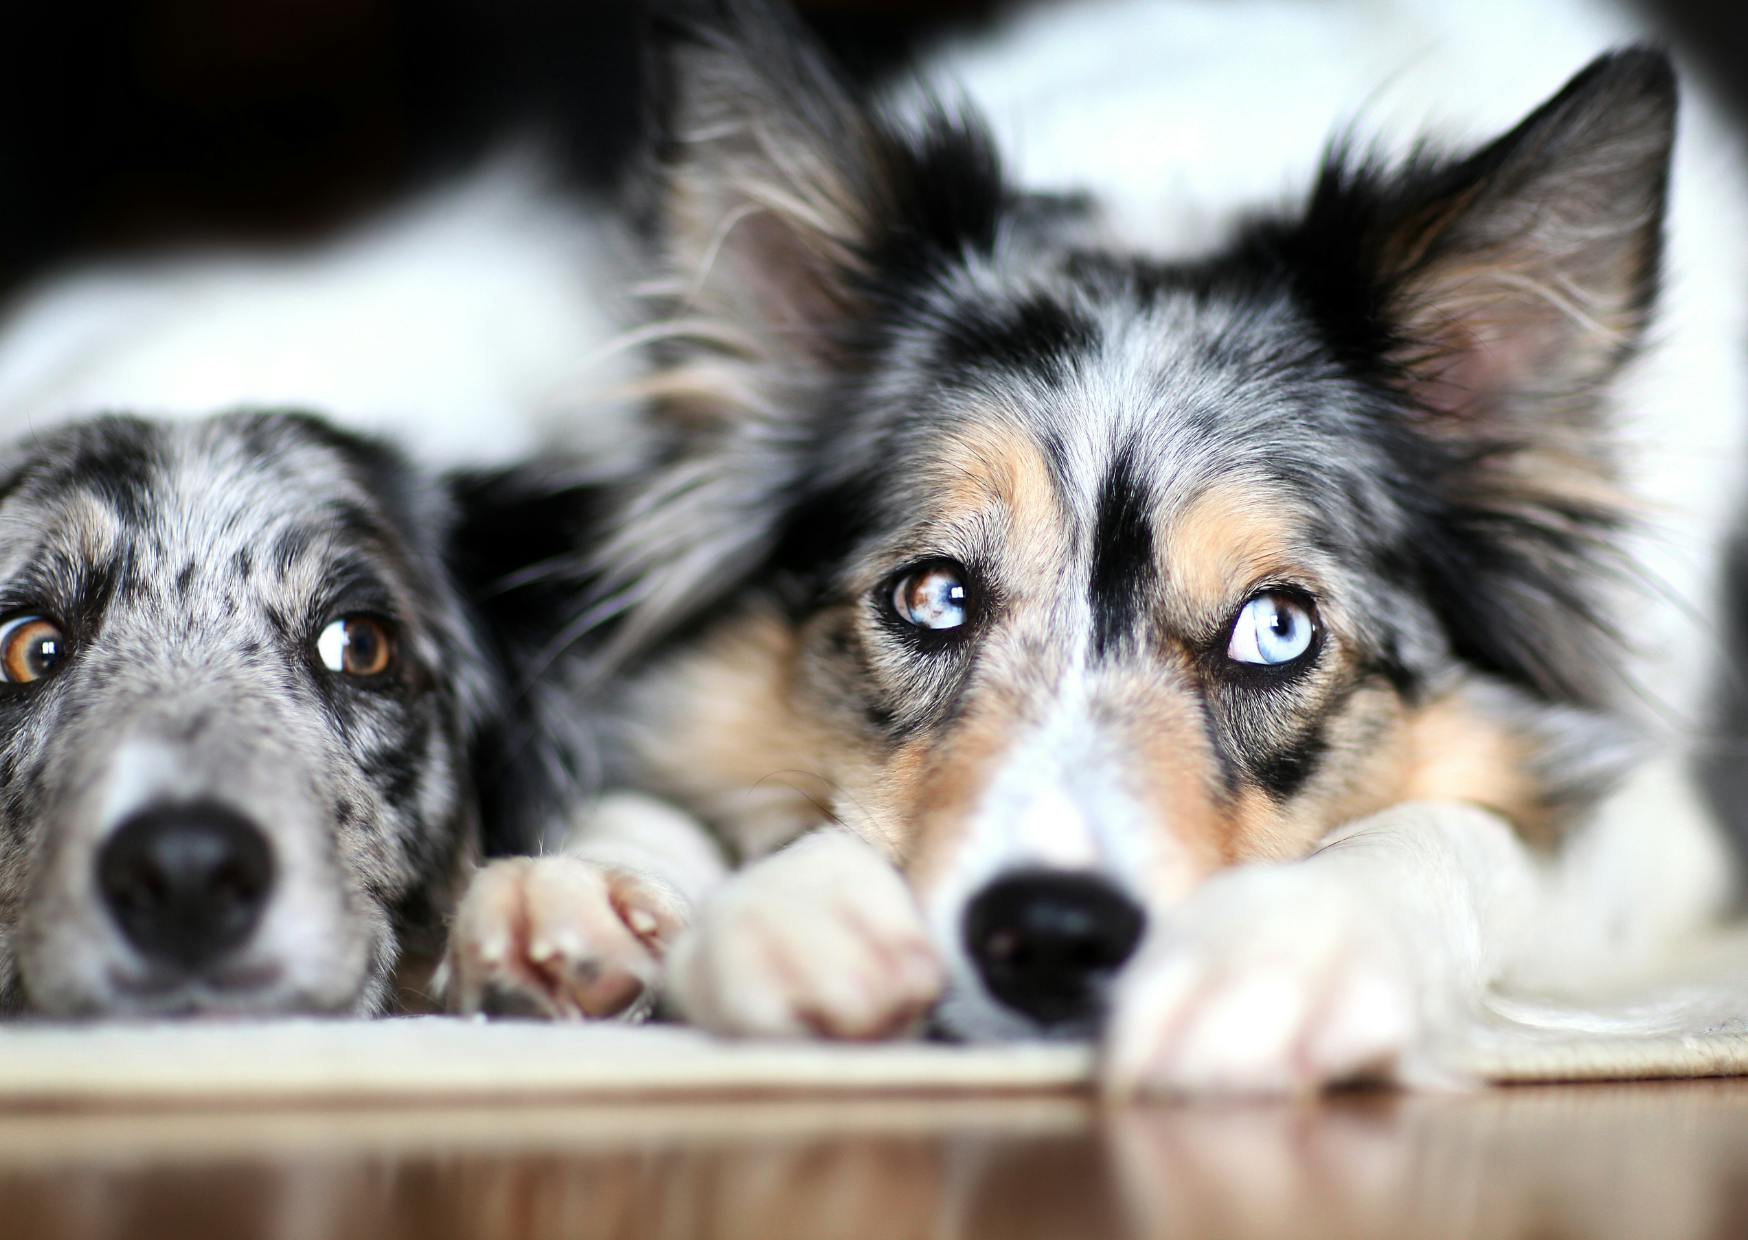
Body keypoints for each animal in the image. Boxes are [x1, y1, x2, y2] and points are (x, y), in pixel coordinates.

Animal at [440, 0, 1748, 1091]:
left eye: (1275, 627)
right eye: (931, 596)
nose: (1051, 938)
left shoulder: (1656, 836)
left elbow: (1469, 833)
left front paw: (1284, 951)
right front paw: (625, 885)